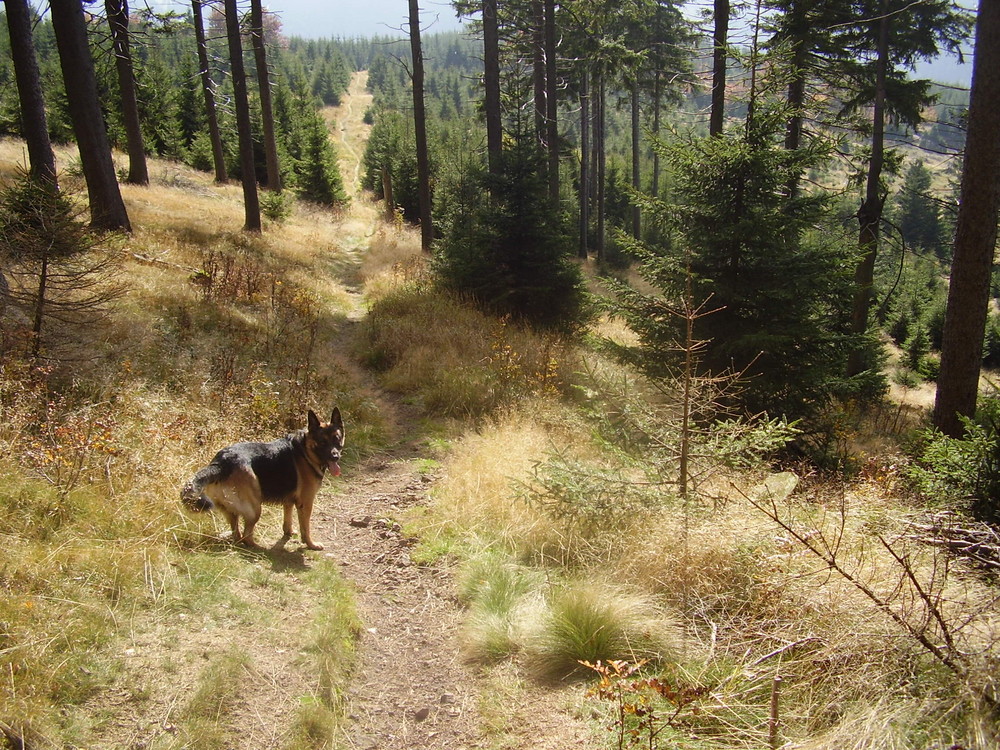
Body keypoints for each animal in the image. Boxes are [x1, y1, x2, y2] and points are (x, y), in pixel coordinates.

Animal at [182, 408, 346, 548]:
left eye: (337, 439)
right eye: (323, 442)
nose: (335, 456)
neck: (306, 450)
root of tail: (221, 462)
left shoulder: (289, 500)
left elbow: (288, 519)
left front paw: (289, 532)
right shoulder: (306, 503)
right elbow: (306, 528)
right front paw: (311, 544)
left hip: (233, 510)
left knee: (237, 533)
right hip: (255, 508)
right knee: (247, 535)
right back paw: (258, 548)